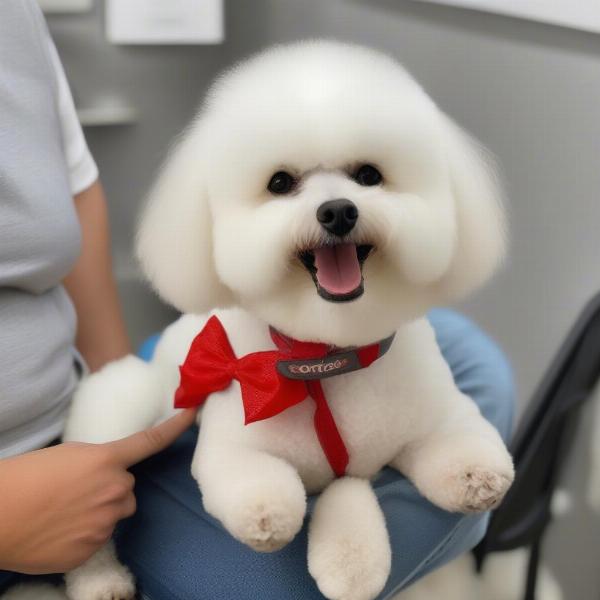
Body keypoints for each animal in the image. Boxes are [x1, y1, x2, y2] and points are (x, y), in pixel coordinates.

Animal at [62, 42, 516, 600]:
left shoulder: (434, 419)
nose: (338, 211)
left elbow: (437, 453)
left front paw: (355, 560)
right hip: (120, 415)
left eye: (369, 175)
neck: (328, 357)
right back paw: (101, 581)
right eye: (280, 183)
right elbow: (260, 488)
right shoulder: (235, 448)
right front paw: (269, 518)